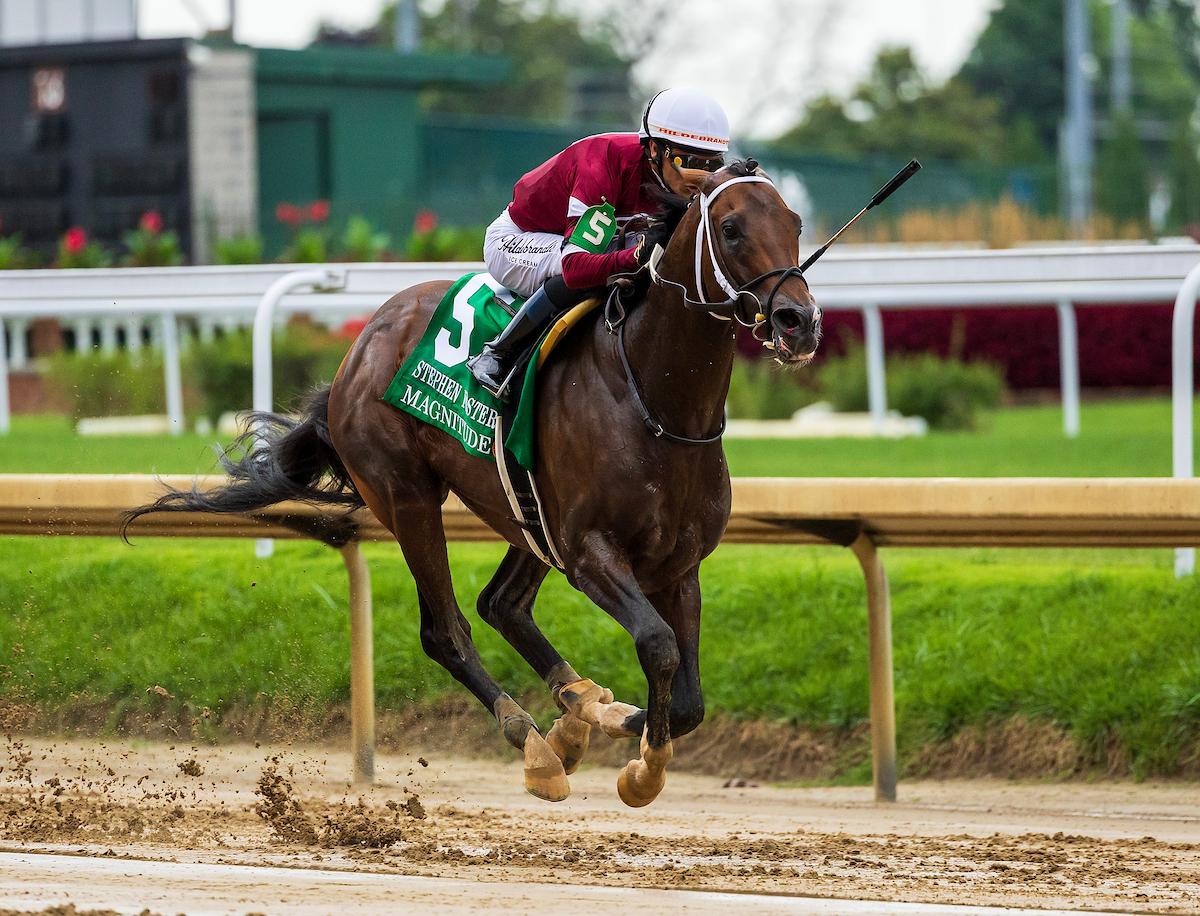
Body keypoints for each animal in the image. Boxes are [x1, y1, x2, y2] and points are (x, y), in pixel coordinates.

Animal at [127, 160, 822, 807]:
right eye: (730, 228)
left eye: (795, 224)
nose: (797, 321)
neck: (659, 404)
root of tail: (360, 346)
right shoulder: (591, 553)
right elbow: (657, 643)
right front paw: (640, 769)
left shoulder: (678, 563)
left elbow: (688, 699)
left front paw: (630, 728)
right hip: (408, 496)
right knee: (448, 630)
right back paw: (537, 743)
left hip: (525, 513)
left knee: (501, 604)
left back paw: (582, 708)